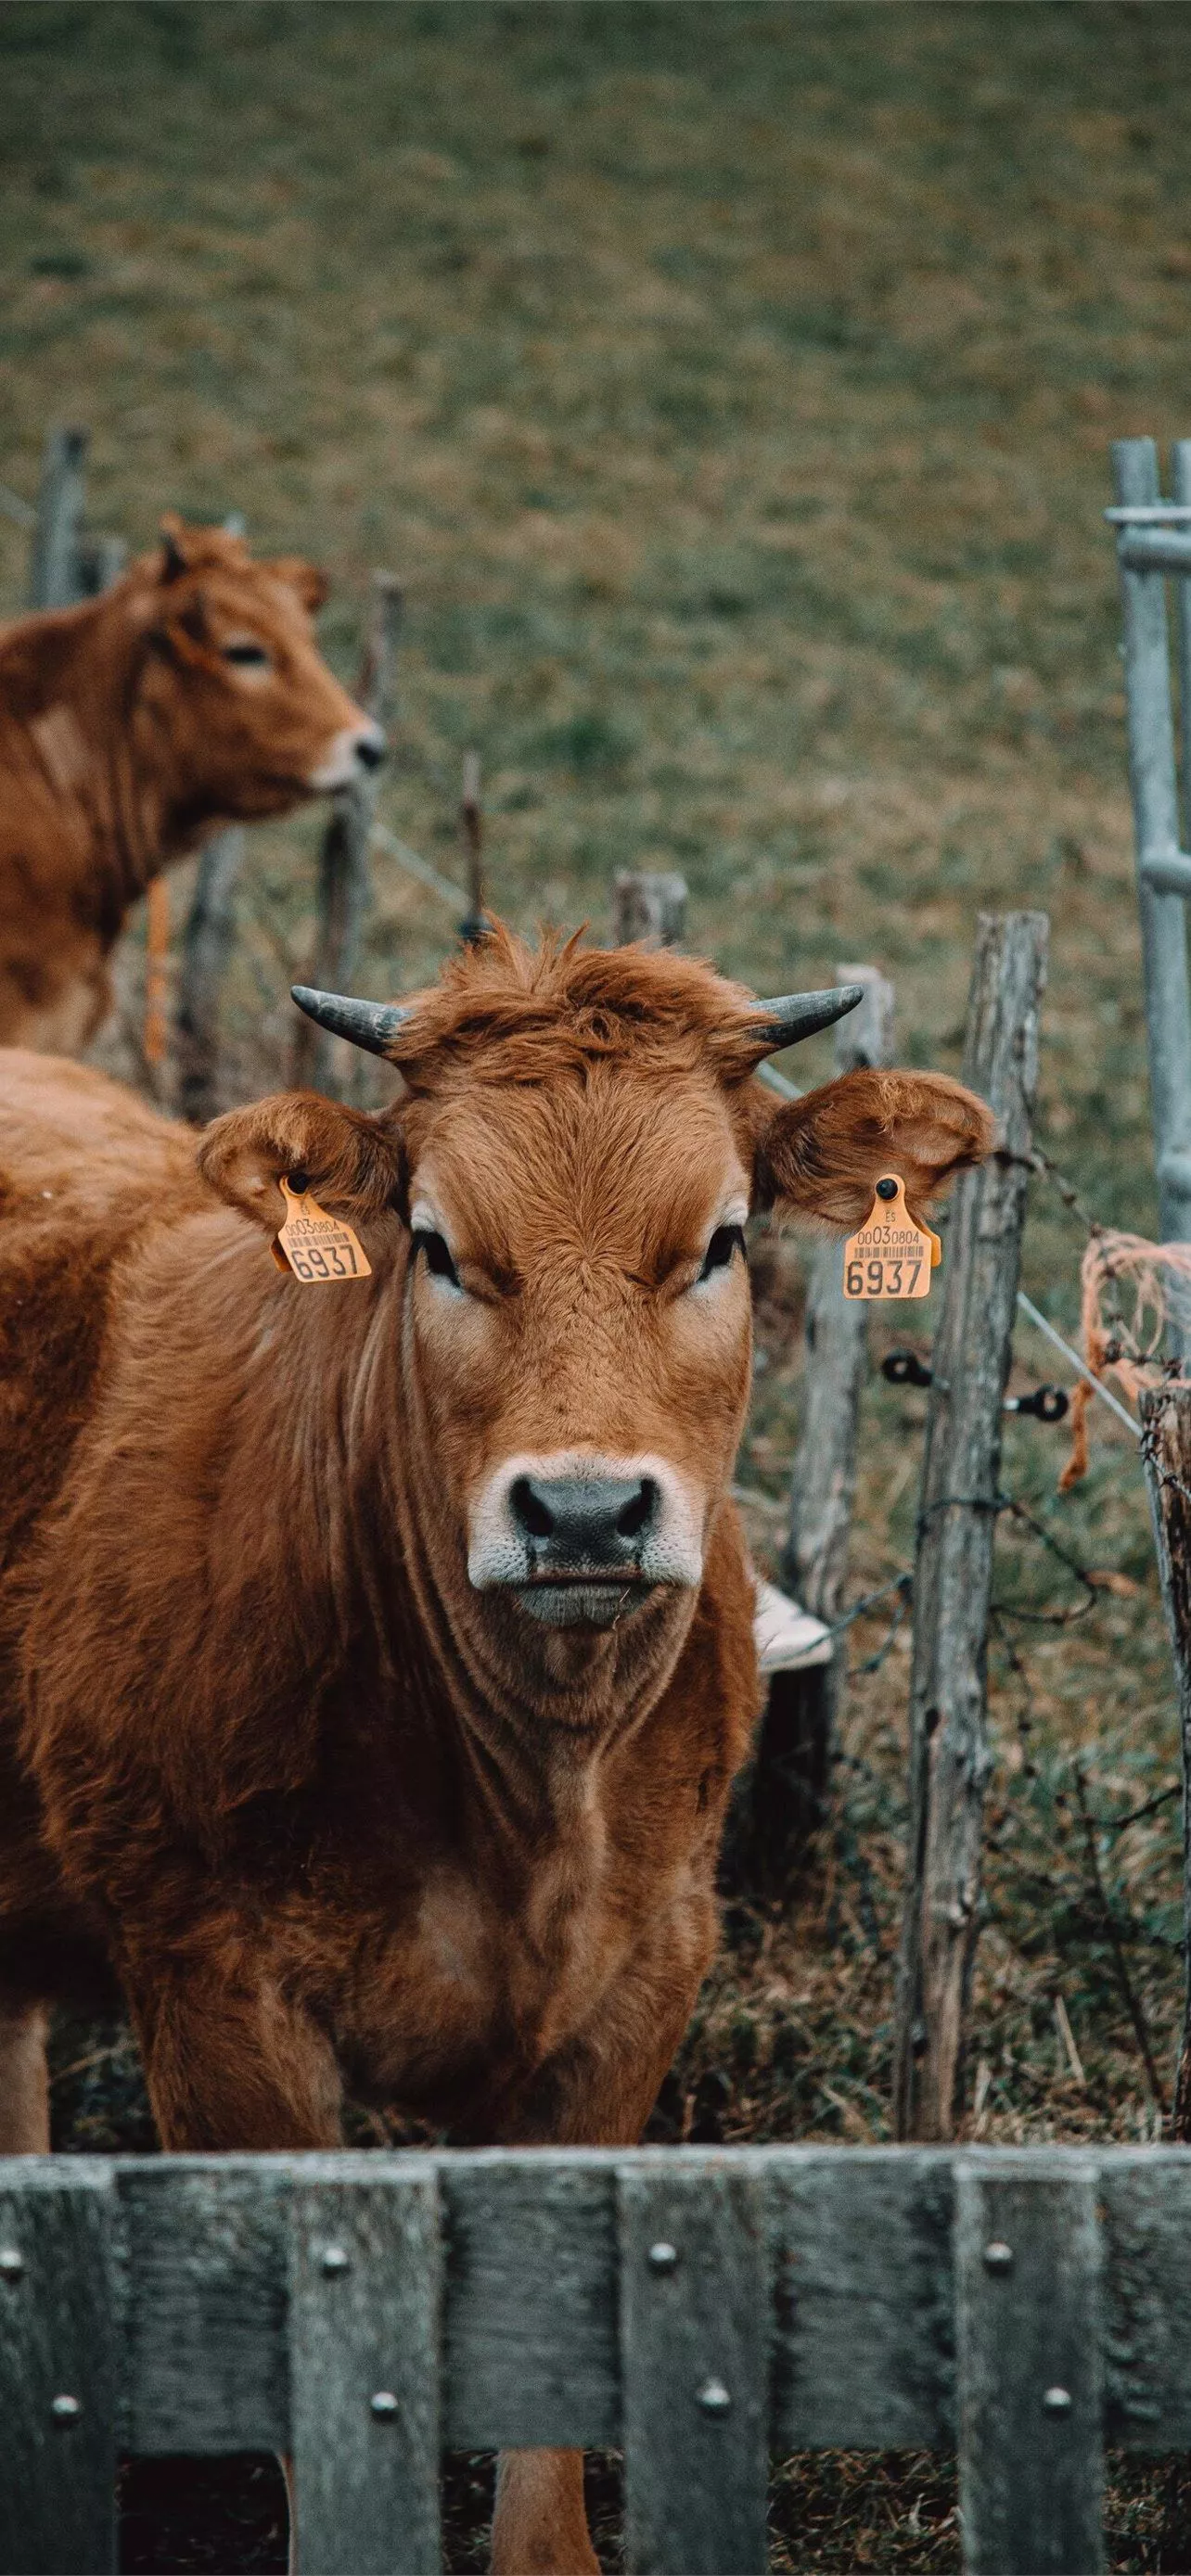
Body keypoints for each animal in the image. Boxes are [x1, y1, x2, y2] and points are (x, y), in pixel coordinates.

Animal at [0, 926, 993, 2571]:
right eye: (437, 1243)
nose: (585, 1511)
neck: (532, 1796)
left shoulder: (646, 1974)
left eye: (721, 1240)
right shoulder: (215, 2009)